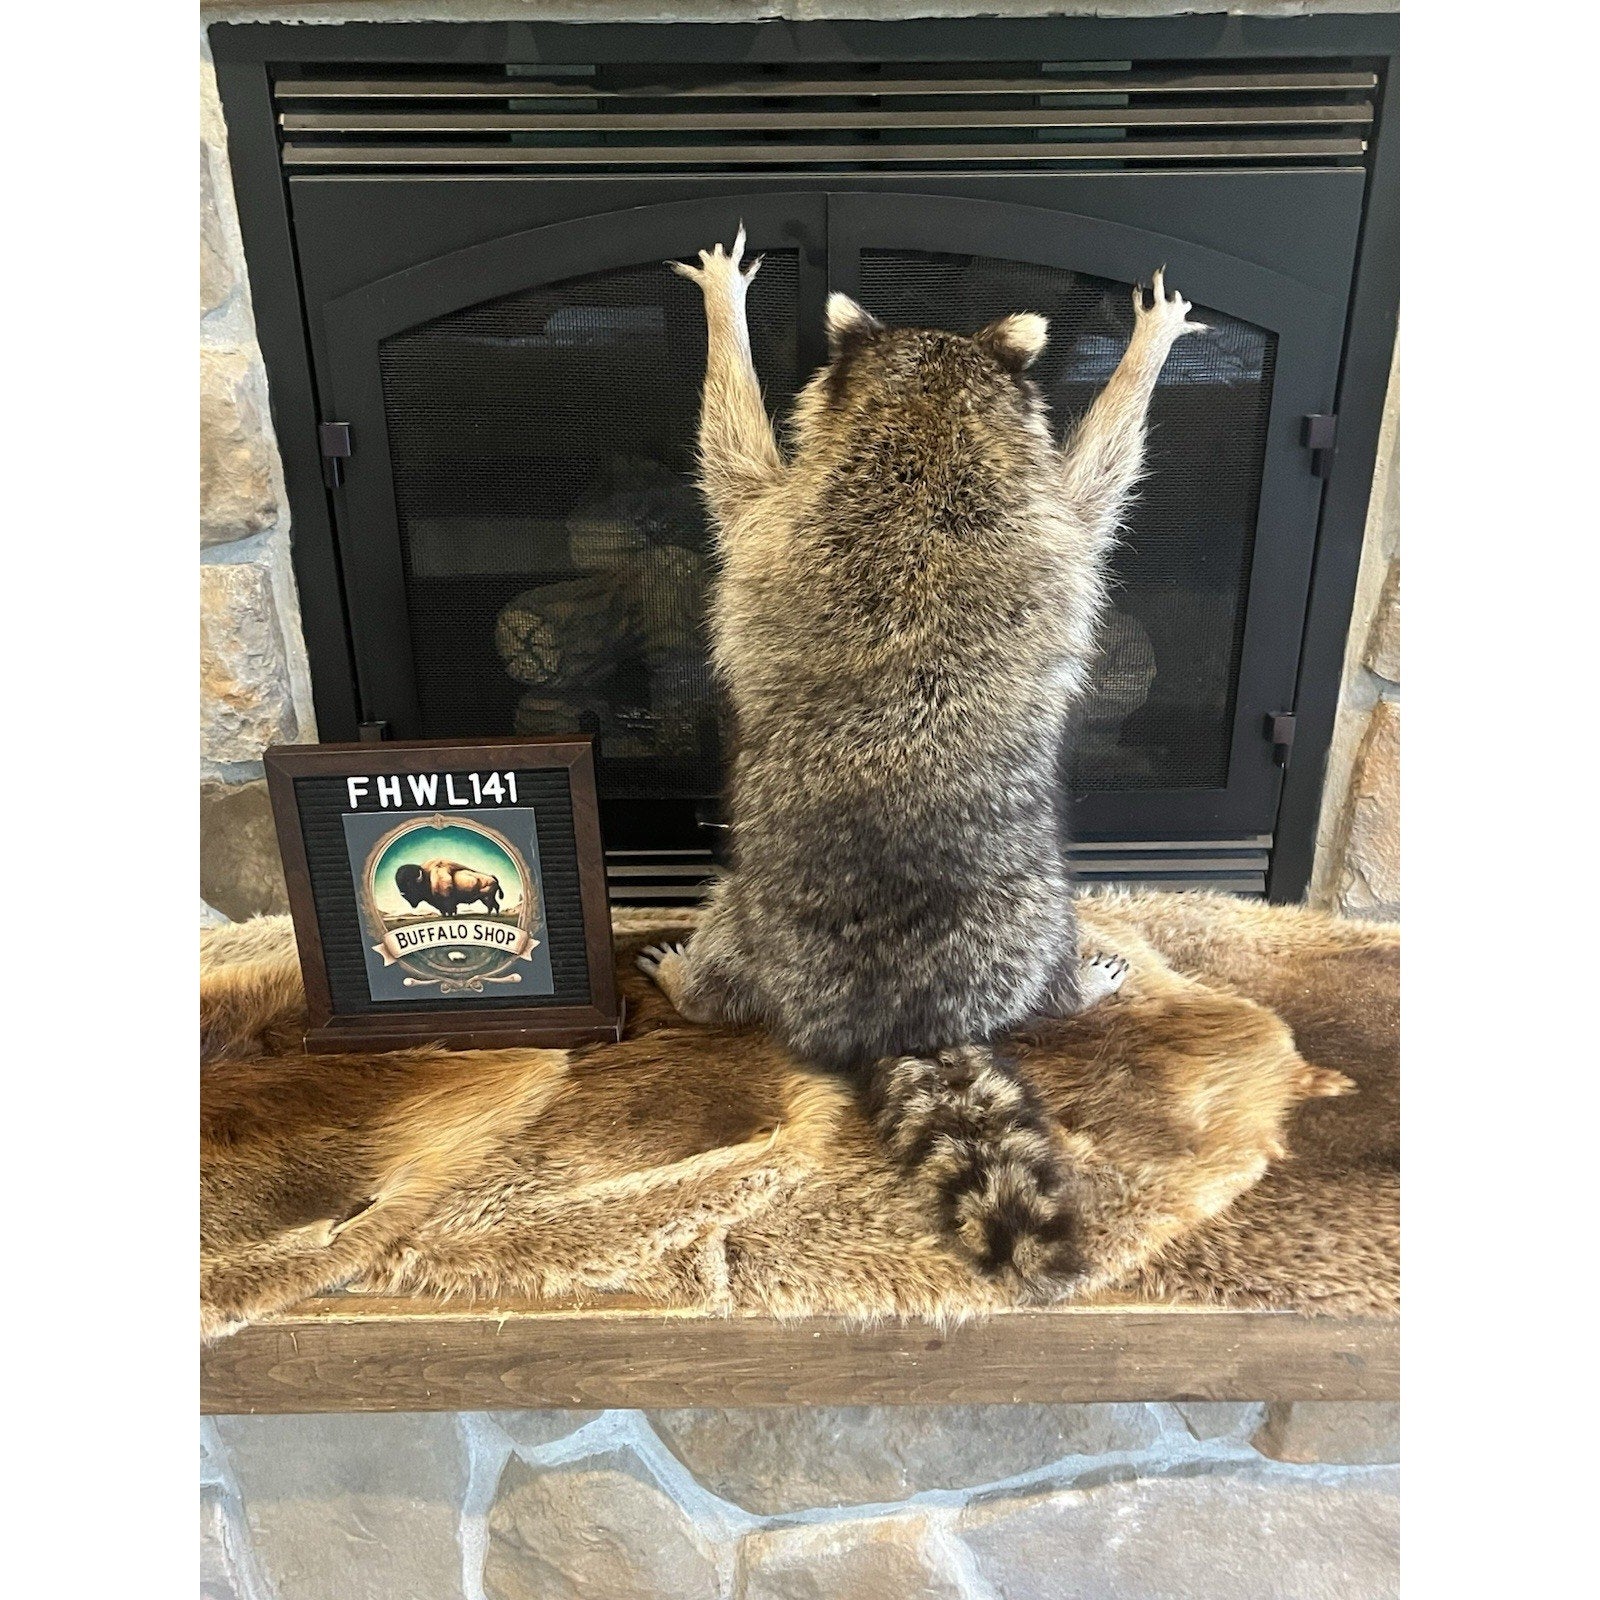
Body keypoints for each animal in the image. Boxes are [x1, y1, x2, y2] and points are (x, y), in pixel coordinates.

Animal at [639, 229, 1203, 1294]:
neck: (926, 425)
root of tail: (905, 1016)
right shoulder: (803, 513)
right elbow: (1099, 471)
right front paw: (726, 319)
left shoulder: (813, 513)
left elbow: (732, 452)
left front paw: (1140, 359)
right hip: (877, 911)